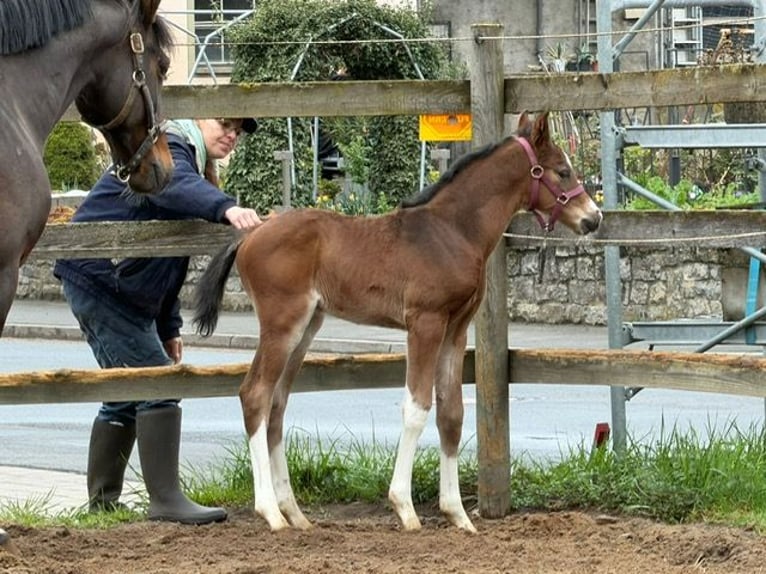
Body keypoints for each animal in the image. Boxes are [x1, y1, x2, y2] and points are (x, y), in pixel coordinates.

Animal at [193, 111, 603, 533]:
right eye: (563, 171)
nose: (594, 218)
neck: (451, 232)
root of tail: (252, 233)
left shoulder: (456, 329)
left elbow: (452, 413)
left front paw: (458, 515)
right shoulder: (425, 323)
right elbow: (417, 408)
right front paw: (405, 508)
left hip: (307, 327)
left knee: (276, 403)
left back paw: (295, 513)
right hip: (282, 324)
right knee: (255, 395)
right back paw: (271, 513)